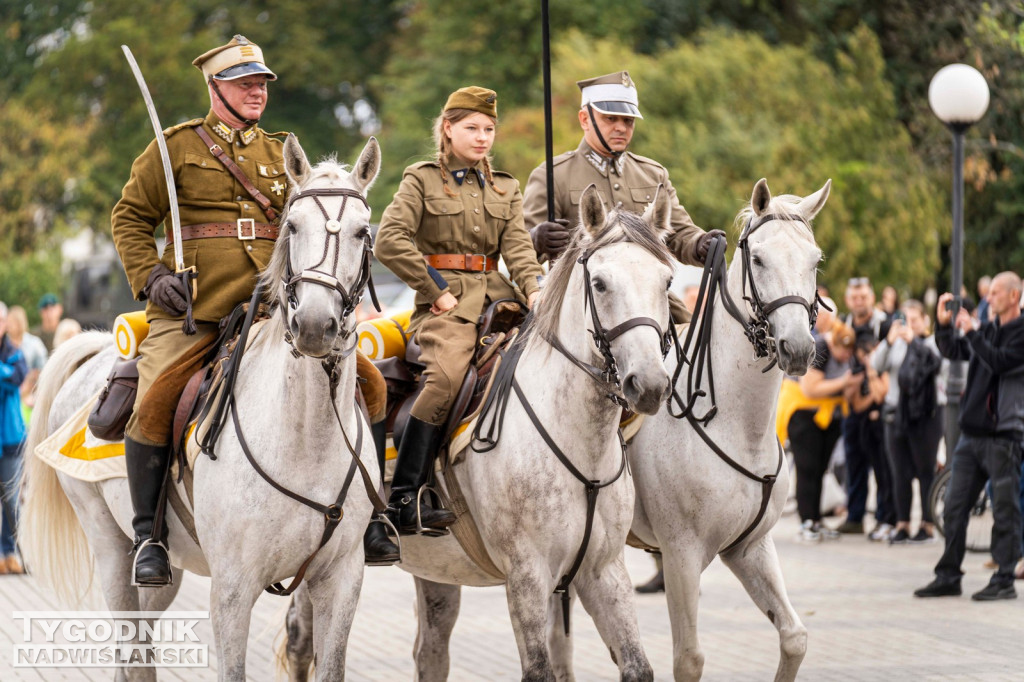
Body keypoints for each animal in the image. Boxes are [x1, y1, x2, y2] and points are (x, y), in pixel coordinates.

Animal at [22, 135, 385, 675]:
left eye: (363, 232)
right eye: (293, 226)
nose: (315, 326)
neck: (304, 437)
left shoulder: (342, 582)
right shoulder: (232, 589)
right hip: (112, 549)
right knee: (130, 649)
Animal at [284, 183, 675, 675]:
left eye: (667, 281)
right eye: (601, 283)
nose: (649, 384)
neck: (578, 440)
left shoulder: (604, 572)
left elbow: (638, 665)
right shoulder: (526, 575)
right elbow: (540, 668)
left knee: (431, 652)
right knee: (302, 642)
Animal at [622, 178, 831, 675]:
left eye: (815, 261)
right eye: (759, 259)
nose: (797, 348)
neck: (740, 428)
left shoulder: (748, 547)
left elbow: (794, 638)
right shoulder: (680, 555)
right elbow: (689, 659)